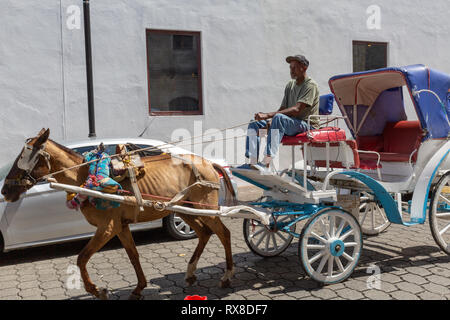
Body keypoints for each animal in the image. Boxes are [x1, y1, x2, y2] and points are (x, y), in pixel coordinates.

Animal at [0, 128, 236, 300]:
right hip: (186, 209)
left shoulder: (108, 227)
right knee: (204, 233)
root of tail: (209, 163)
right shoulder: (120, 226)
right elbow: (133, 255)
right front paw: (139, 287)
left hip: (206, 208)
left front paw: (97, 290)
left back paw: (227, 276)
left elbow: (82, 258)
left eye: (24, 156)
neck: (85, 176)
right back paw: (190, 273)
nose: (4, 191)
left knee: (224, 233)